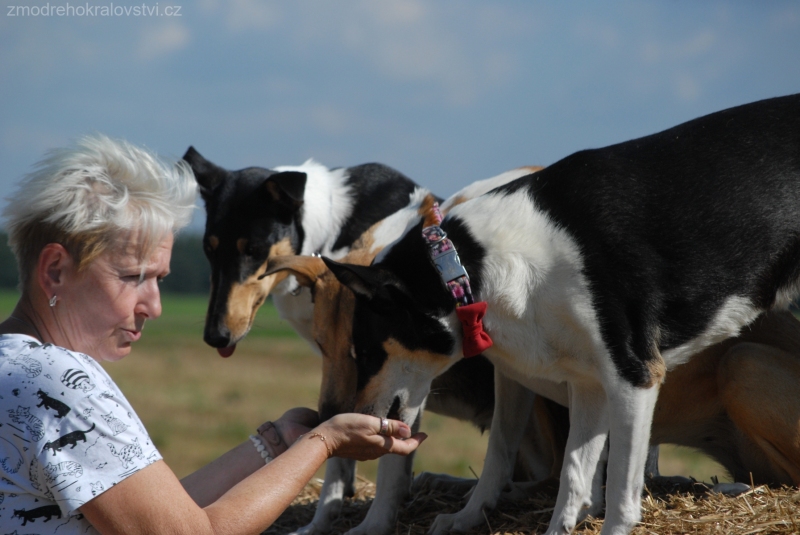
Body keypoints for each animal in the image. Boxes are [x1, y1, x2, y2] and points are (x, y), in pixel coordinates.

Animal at [324, 95, 800, 535]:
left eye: (365, 352)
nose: (350, 416)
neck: (472, 266)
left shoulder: (634, 377)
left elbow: (619, 492)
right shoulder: (590, 385)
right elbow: (571, 475)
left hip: (741, 363)